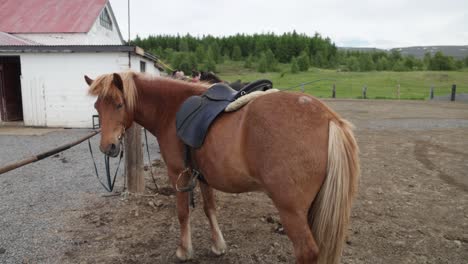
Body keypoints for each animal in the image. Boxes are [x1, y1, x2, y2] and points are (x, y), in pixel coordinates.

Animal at [85, 71, 362, 264]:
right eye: (97, 107)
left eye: (119, 104)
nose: (108, 147)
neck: (172, 110)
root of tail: (329, 118)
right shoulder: (203, 176)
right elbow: (210, 208)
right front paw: (218, 246)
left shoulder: (178, 174)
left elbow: (182, 213)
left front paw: (184, 250)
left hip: (291, 210)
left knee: (307, 251)